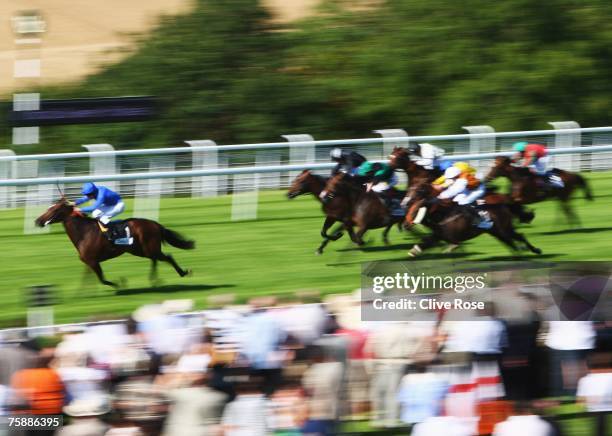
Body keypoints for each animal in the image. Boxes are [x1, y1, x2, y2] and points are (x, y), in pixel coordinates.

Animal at [34, 198, 196, 288]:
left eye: (54, 209)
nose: (38, 221)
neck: (84, 232)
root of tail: (156, 224)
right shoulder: (89, 262)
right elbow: (88, 279)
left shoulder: (93, 261)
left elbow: (102, 279)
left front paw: (120, 283)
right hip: (139, 250)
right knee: (155, 259)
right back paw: (154, 280)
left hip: (149, 248)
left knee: (166, 257)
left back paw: (181, 273)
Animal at [406, 181, 540, 258]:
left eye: (418, 190)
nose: (406, 224)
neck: (444, 214)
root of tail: (505, 204)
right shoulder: (438, 235)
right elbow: (425, 241)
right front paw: (413, 251)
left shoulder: (453, 238)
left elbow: (453, 246)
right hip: (498, 232)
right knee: (512, 242)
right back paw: (520, 254)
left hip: (504, 230)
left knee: (518, 237)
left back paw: (535, 250)